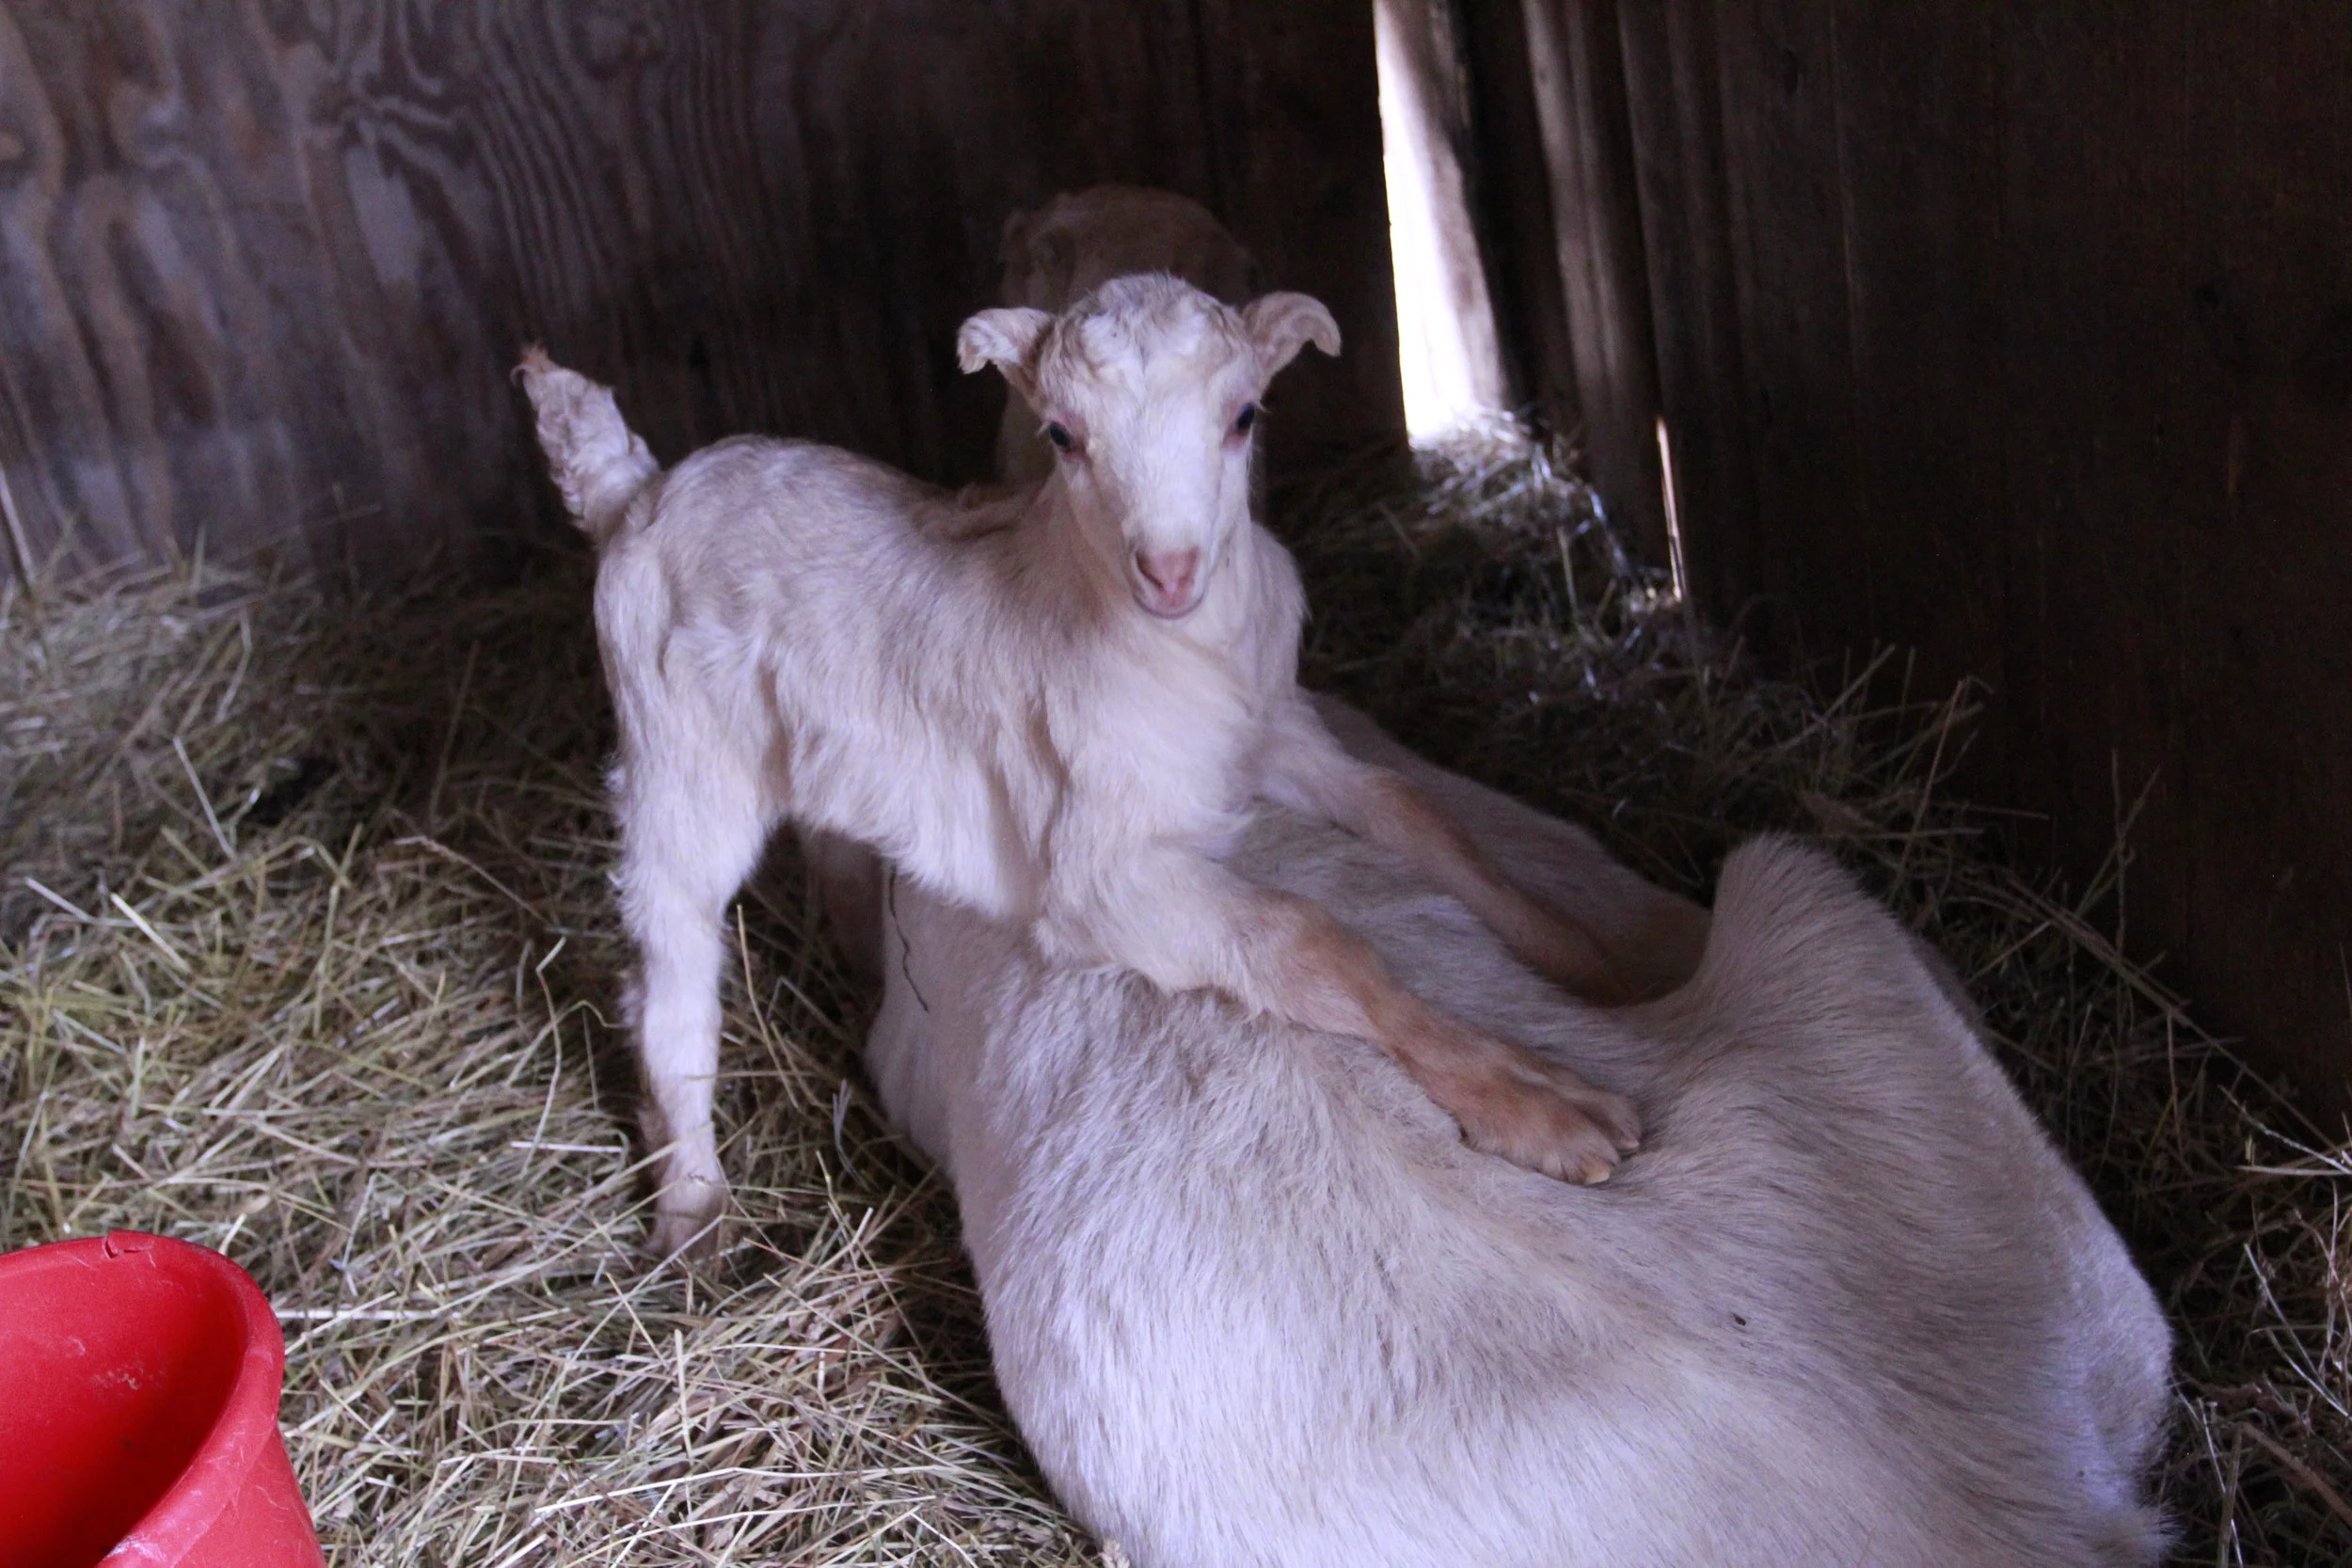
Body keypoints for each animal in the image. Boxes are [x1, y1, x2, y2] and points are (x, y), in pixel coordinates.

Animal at [519, 277, 1651, 1259]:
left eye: (1245, 414)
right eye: (1062, 435)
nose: (1170, 571)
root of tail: (633, 489)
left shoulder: (1274, 730)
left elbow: (1411, 808)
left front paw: (1588, 955)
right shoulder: (1098, 874)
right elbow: (1310, 942)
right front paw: (1544, 1106)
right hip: (677, 757)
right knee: (668, 972)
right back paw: (695, 1212)